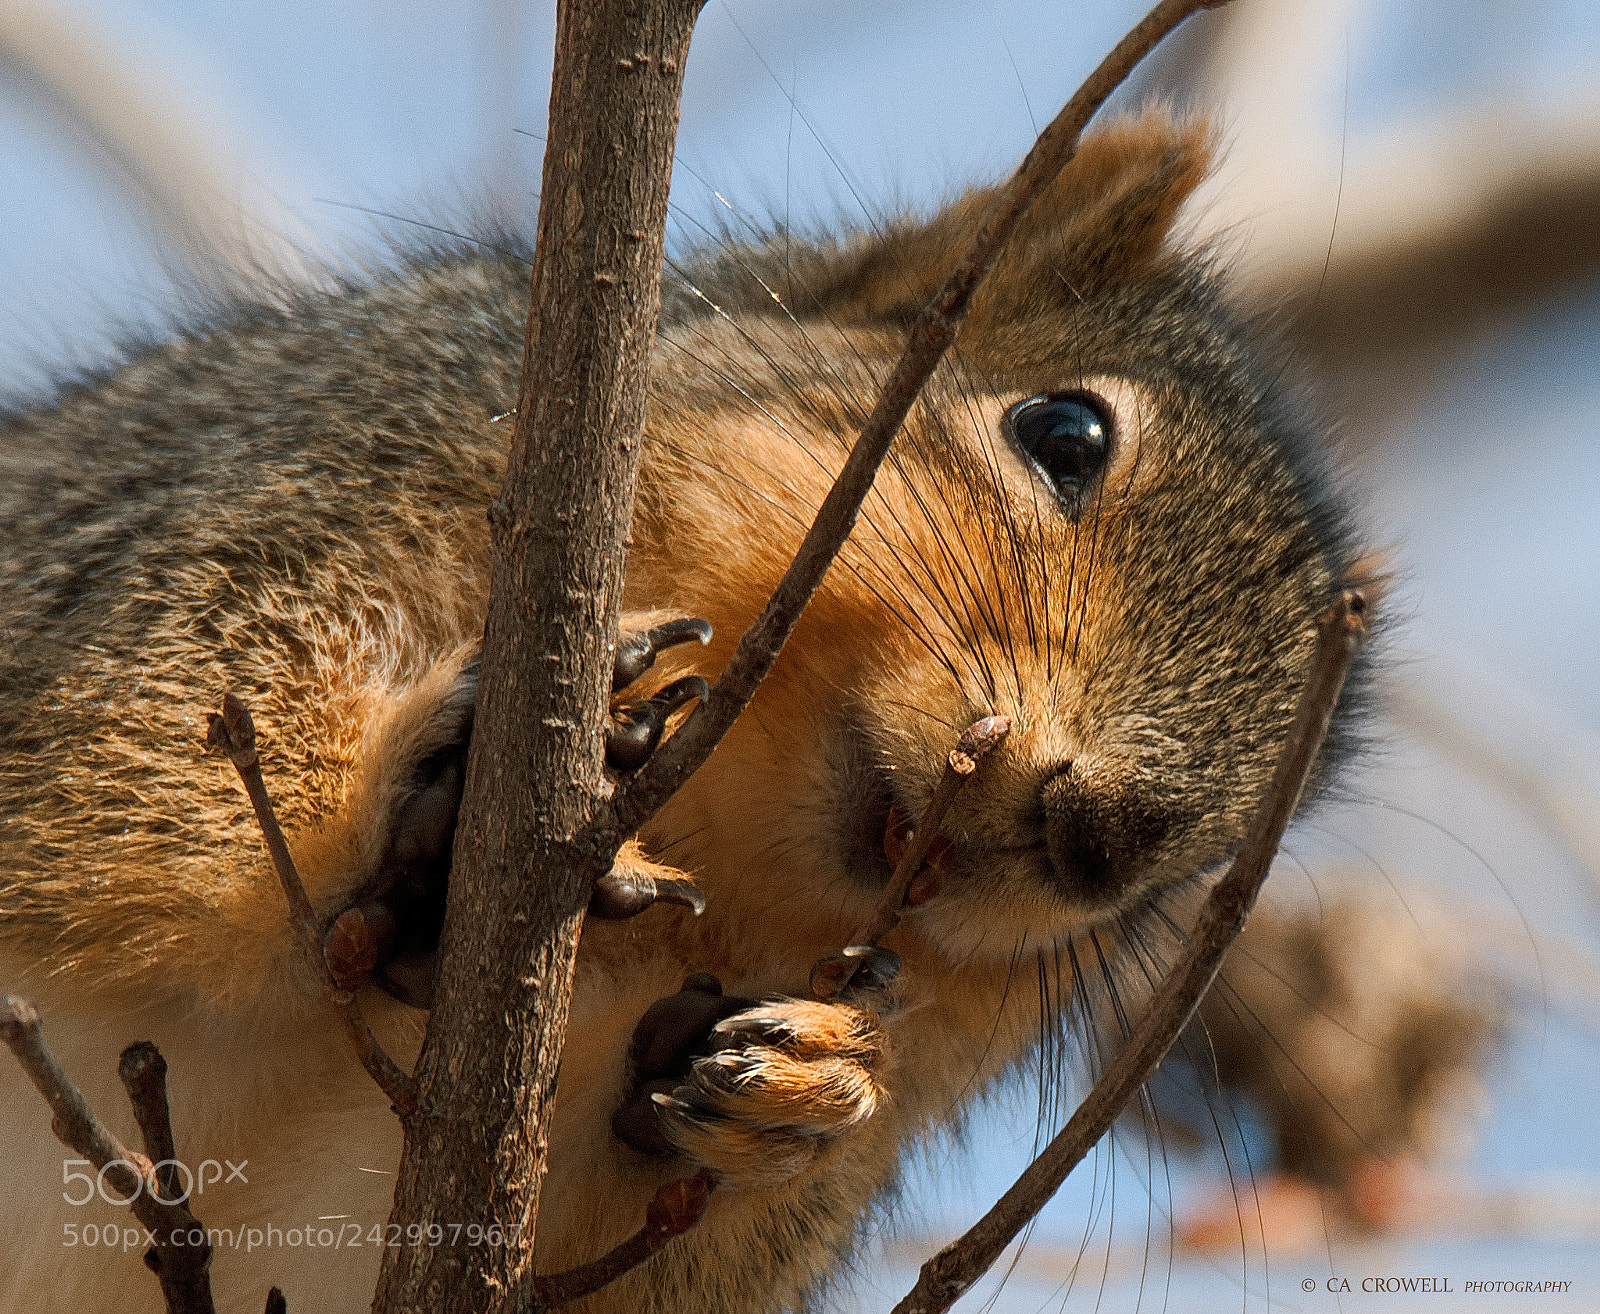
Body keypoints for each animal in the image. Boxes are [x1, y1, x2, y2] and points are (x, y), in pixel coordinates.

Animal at [0, 109, 1488, 1312]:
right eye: (1063, 431)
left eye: (1209, 867)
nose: (1107, 834)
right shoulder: (243, 513)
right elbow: (125, 805)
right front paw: (413, 792)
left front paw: (811, 1088)